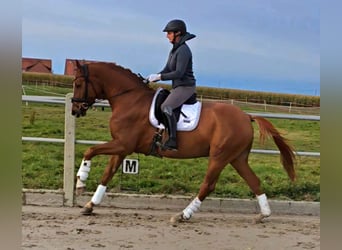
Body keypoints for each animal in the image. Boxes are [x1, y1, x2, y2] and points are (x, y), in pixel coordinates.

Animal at [71, 60, 296, 223]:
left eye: (79, 84)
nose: (75, 110)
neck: (129, 99)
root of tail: (246, 116)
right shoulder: (121, 147)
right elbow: (107, 174)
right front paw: (90, 205)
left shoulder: (123, 144)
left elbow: (90, 150)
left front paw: (81, 181)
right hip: (237, 158)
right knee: (254, 181)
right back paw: (263, 214)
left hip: (219, 156)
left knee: (208, 185)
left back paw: (183, 215)